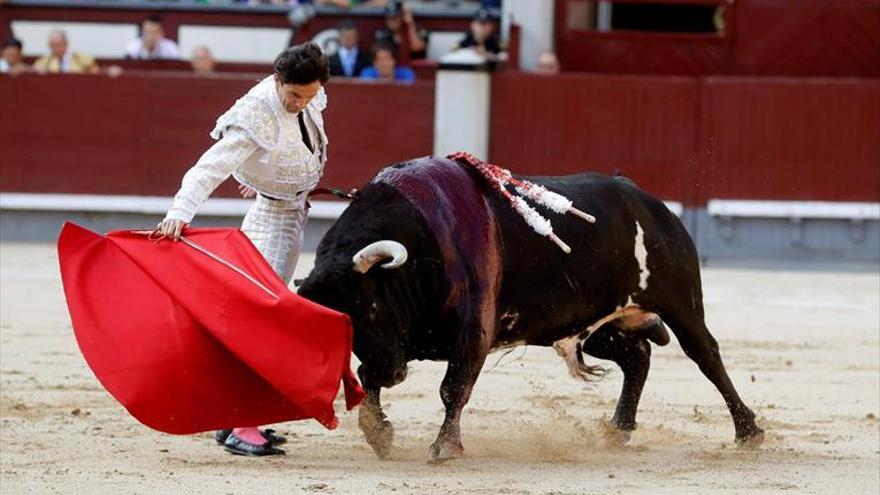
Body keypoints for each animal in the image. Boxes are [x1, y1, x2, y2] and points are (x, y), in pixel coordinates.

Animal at [298, 157, 764, 464]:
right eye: (345, 324)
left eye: (373, 305)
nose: (394, 373)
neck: (420, 249)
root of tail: (643, 197)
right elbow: (365, 379)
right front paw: (380, 434)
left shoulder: (473, 332)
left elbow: (453, 388)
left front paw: (444, 448)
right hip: (596, 323)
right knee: (637, 356)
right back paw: (618, 429)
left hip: (681, 303)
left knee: (706, 356)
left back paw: (749, 431)